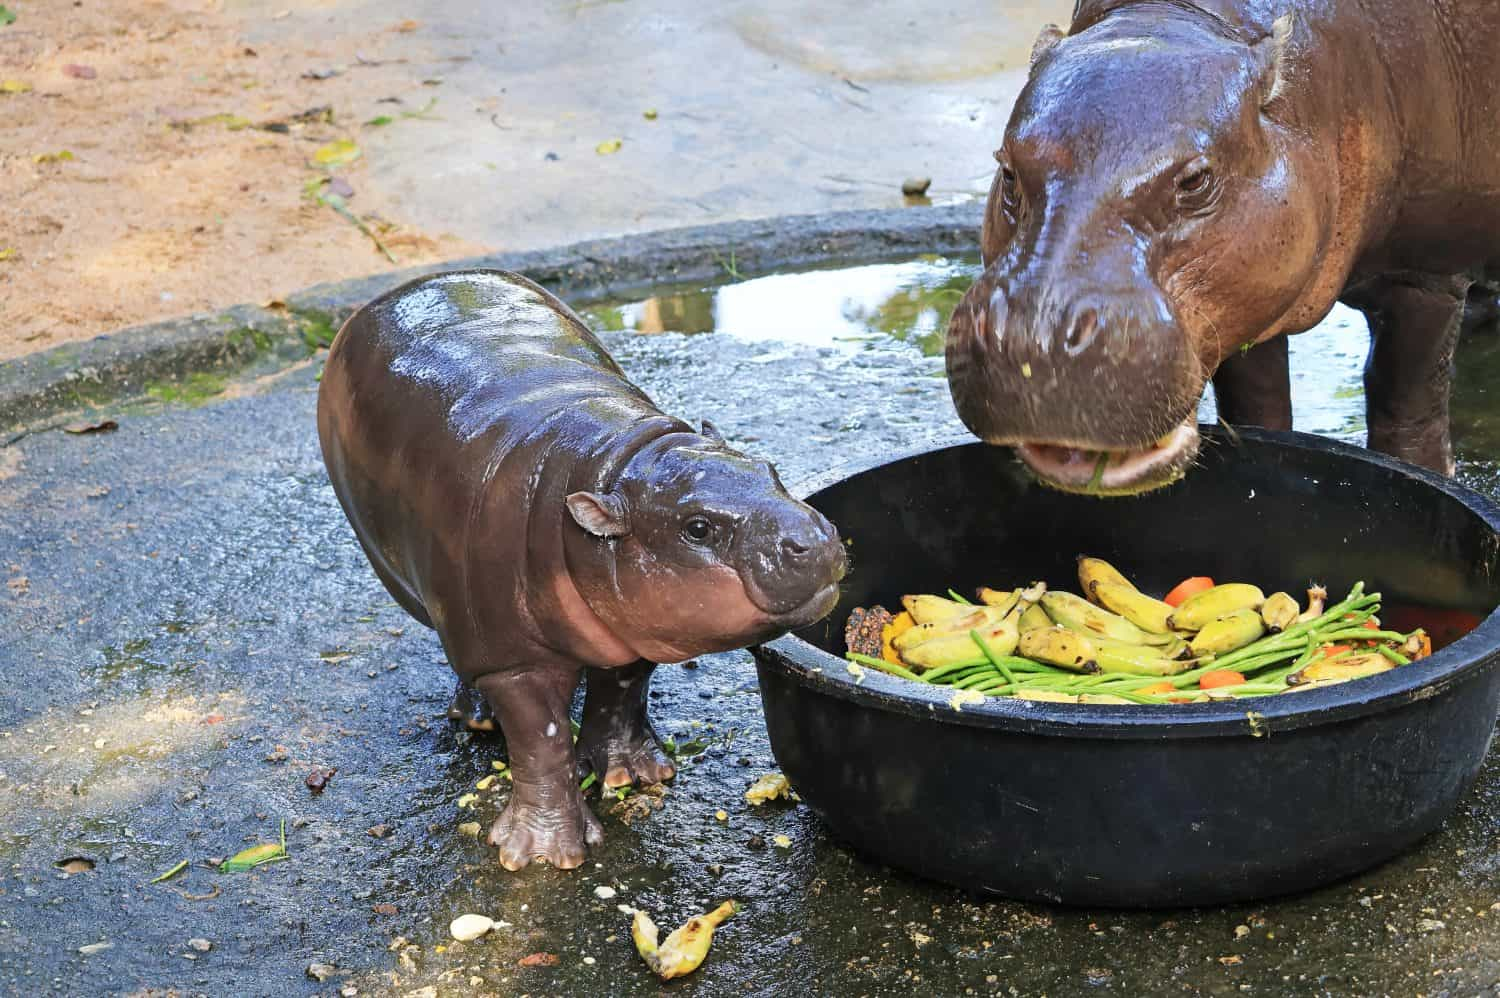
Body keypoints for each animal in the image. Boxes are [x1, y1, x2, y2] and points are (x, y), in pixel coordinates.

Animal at [316, 270, 846, 869]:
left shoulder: (632, 624)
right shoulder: (514, 662)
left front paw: (635, 775)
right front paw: (541, 853)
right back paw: (477, 717)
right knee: (460, 651)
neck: (611, 464)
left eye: (768, 467)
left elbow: (621, 692)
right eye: (697, 528)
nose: (812, 538)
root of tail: (399, 290)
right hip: (425, 593)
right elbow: (541, 740)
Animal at [946, 0, 1500, 493]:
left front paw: (1426, 470)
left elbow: (1404, 404)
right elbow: (1258, 402)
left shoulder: (1425, 273)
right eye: (1007, 169)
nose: (1031, 337)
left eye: (1195, 180)